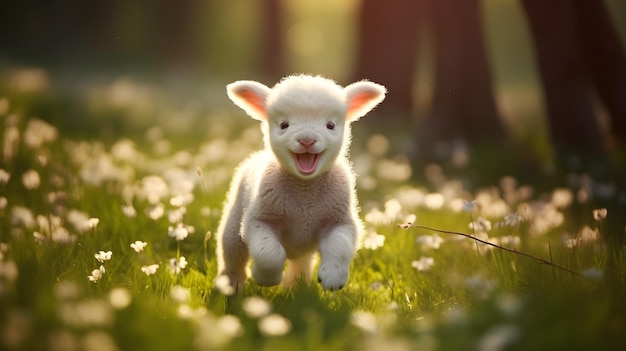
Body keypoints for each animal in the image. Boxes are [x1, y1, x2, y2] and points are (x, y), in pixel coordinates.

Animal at [216, 74, 386, 292]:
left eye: (330, 125)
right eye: (283, 125)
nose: (307, 140)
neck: (305, 192)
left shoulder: (340, 220)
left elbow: (340, 246)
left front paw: (332, 277)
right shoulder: (259, 219)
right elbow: (268, 253)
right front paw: (265, 278)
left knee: (301, 262)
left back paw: (295, 286)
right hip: (233, 225)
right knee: (233, 258)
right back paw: (231, 285)